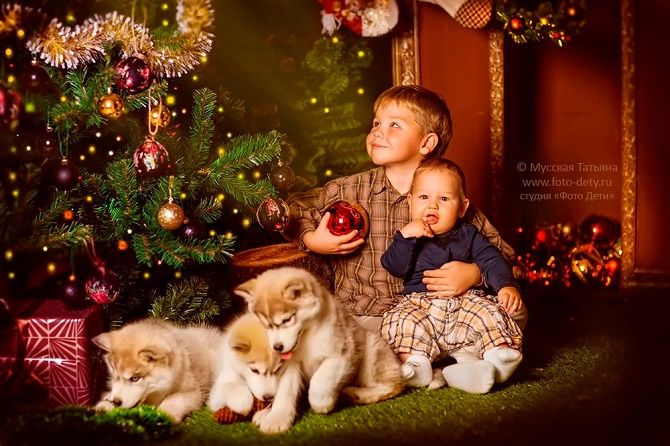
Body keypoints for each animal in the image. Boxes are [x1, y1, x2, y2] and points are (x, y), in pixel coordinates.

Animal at [93, 318, 223, 420]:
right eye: (115, 376)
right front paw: (105, 405)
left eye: (135, 378)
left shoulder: (192, 392)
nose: (116, 402)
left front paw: (161, 416)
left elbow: (172, 400)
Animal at [235, 264, 404, 432]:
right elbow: (285, 392)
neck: (306, 339)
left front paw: (322, 402)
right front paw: (277, 418)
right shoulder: (291, 366)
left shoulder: (340, 354)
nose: (277, 347)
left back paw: (355, 394)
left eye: (287, 320)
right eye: (265, 325)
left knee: (392, 386)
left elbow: (320, 380)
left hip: (371, 350)